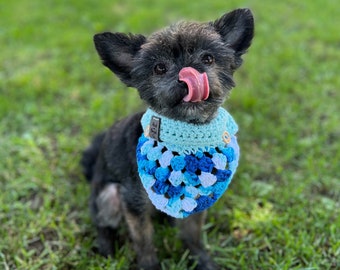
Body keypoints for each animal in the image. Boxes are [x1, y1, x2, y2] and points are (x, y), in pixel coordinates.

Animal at [81, 8, 254, 270]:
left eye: (208, 58)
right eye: (160, 68)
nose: (187, 73)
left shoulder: (197, 197)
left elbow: (193, 234)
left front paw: (202, 260)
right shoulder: (134, 204)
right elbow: (144, 243)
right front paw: (149, 265)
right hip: (109, 195)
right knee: (103, 225)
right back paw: (106, 249)